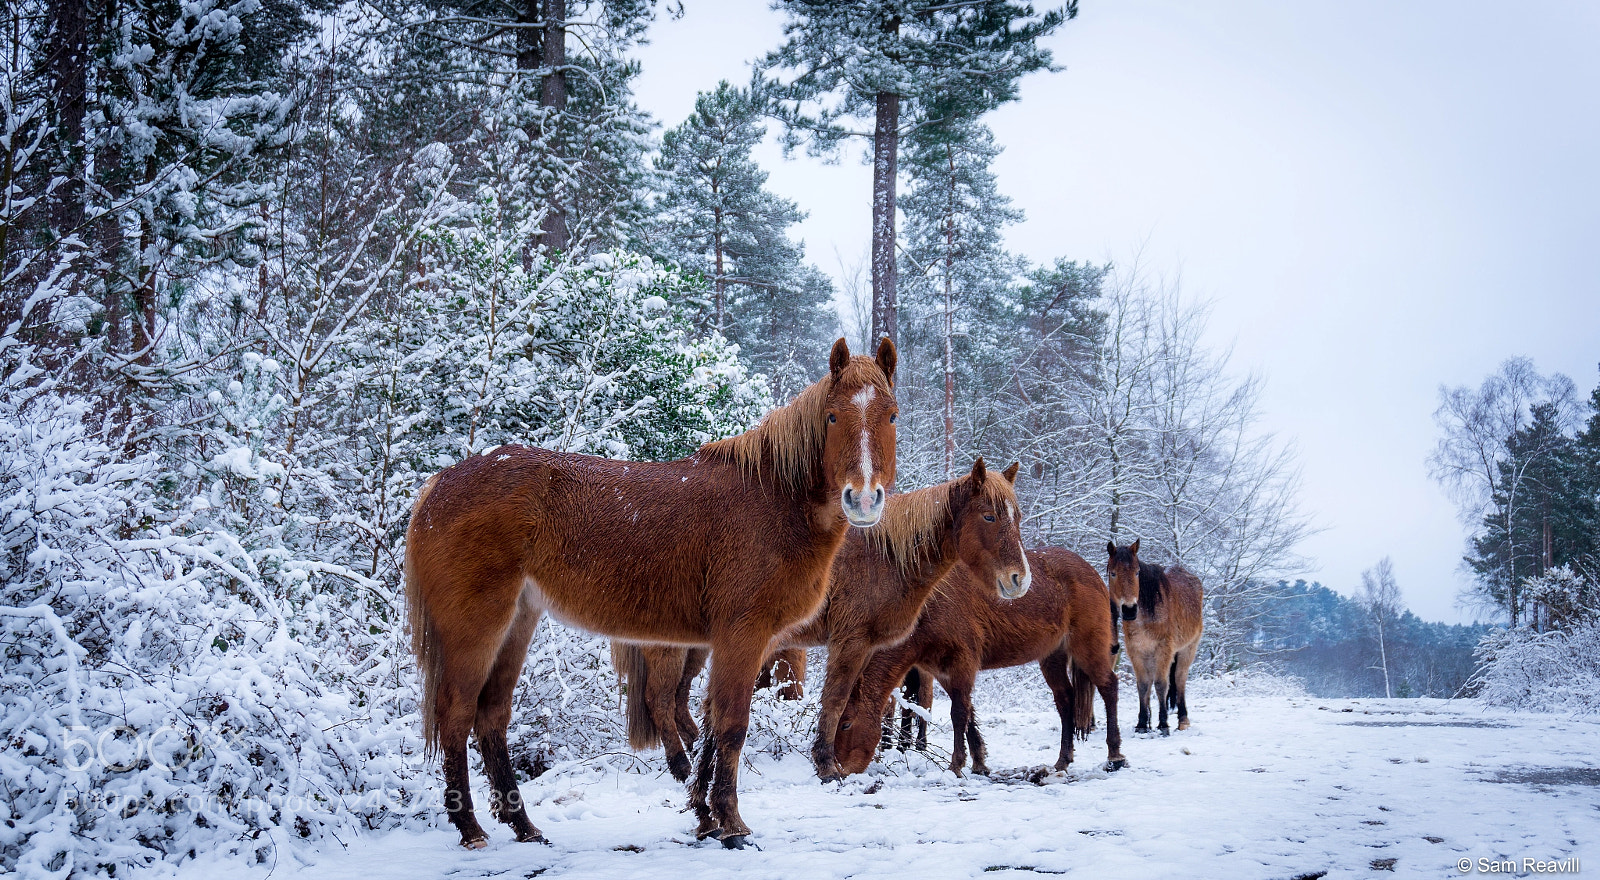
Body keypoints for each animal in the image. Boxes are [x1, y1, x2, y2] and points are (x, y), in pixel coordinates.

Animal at [405, 337, 897, 850]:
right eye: (833, 417)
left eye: (891, 416)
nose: (863, 499)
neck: (772, 500)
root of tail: (439, 484)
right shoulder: (744, 636)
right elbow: (732, 725)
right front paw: (732, 825)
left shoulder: (727, 643)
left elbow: (710, 723)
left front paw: (704, 816)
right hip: (477, 629)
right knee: (456, 715)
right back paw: (471, 828)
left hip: (518, 623)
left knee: (492, 717)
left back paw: (524, 826)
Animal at [615, 457, 1031, 781]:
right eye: (989, 515)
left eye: (1018, 516)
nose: (1019, 579)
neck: (883, 556)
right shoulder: (851, 641)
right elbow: (836, 699)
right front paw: (827, 765)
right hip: (669, 648)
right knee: (660, 699)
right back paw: (681, 765)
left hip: (698, 648)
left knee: (680, 699)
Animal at [832, 546, 1126, 777]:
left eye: (846, 724)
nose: (840, 769)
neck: (930, 605)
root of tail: (1092, 572)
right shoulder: (944, 672)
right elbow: (969, 714)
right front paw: (979, 763)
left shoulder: (962, 664)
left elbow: (959, 714)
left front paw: (956, 765)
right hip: (1052, 656)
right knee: (1065, 700)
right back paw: (1063, 759)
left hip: (1088, 647)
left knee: (1109, 687)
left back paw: (1114, 757)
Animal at [1106, 540, 1204, 734]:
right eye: (1113, 573)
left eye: (1137, 572)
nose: (1129, 609)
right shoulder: (1136, 652)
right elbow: (1143, 685)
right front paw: (1142, 723)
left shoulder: (1163, 650)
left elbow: (1160, 684)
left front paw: (1163, 723)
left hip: (1188, 649)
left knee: (1179, 679)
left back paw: (1183, 719)